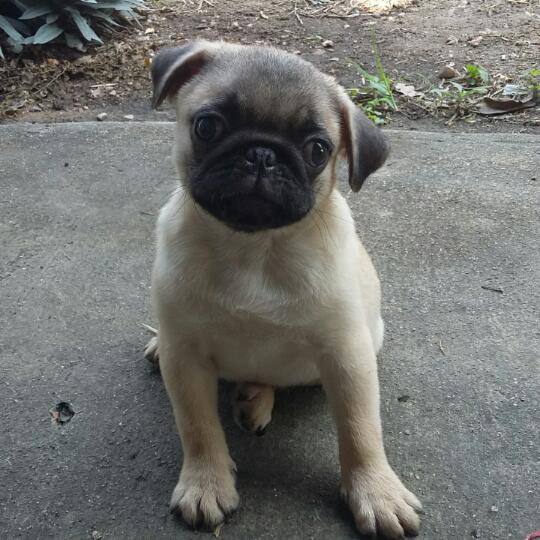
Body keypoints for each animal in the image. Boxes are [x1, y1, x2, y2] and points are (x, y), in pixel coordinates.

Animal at [145, 41, 422, 539]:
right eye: (207, 126)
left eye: (317, 150)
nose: (261, 154)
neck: (253, 247)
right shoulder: (186, 358)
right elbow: (197, 427)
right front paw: (205, 483)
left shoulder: (347, 357)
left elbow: (361, 431)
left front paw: (376, 492)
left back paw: (255, 398)